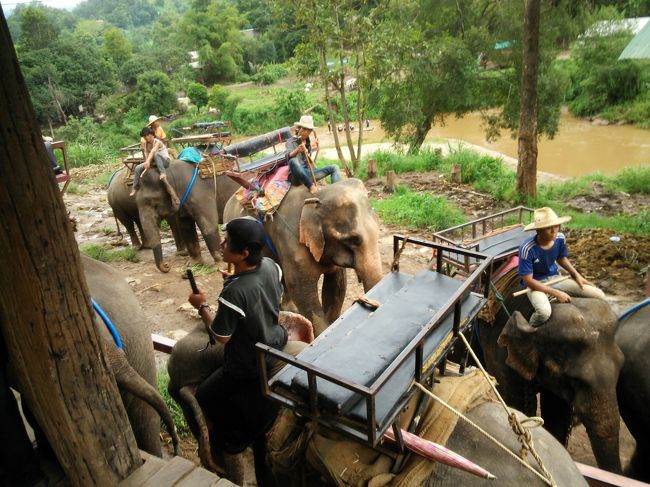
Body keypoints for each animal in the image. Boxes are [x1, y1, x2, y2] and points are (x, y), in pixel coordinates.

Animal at [225, 178, 382, 336]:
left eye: (378, 229)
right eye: (351, 240)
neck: (316, 197)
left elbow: (336, 286)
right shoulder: (291, 242)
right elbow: (302, 292)